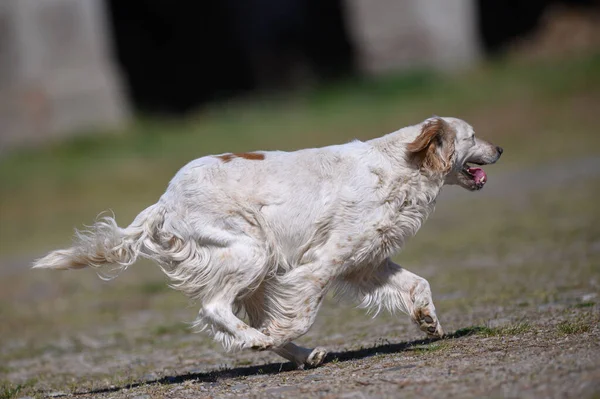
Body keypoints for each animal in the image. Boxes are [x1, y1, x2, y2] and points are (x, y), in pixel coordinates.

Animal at [32, 117, 502, 370]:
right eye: (472, 135)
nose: (499, 147)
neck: (400, 165)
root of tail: (165, 201)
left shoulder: (365, 264)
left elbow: (418, 284)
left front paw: (429, 322)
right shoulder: (320, 264)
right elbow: (299, 313)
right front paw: (280, 331)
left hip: (260, 268)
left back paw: (304, 355)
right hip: (252, 253)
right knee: (216, 308)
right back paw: (260, 341)